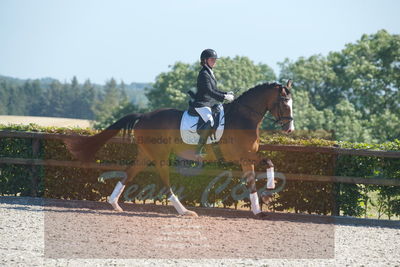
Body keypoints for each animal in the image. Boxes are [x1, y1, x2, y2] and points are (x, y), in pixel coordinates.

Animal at [65, 80, 294, 219]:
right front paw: (264, 199)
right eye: (284, 102)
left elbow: (260, 173)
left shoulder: (248, 157)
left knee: (129, 173)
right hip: (160, 155)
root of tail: (144, 116)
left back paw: (114, 203)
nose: (289, 129)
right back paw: (183, 211)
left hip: (145, 154)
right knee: (165, 182)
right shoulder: (244, 156)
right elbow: (260, 171)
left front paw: (262, 202)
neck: (244, 117)